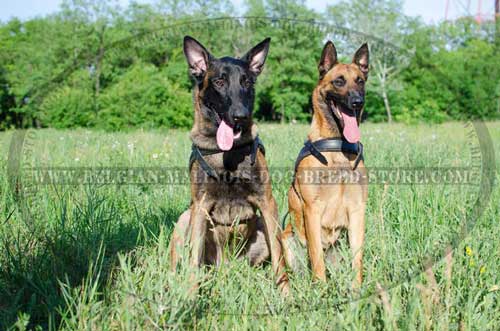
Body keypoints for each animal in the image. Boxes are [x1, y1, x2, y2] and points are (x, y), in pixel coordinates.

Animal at [170, 36, 290, 294]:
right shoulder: (200, 206)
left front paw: (286, 292)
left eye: (246, 82)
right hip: (185, 218)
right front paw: (190, 296)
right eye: (219, 81)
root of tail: (227, 267)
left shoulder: (267, 203)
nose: (240, 116)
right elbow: (193, 259)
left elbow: (279, 256)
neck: (228, 155)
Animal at [284, 41, 370, 288]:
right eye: (339, 81)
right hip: (287, 239)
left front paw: (357, 290)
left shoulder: (358, 210)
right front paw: (320, 291)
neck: (337, 147)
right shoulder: (312, 210)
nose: (357, 101)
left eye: (360, 81)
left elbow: (358, 259)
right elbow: (316, 258)